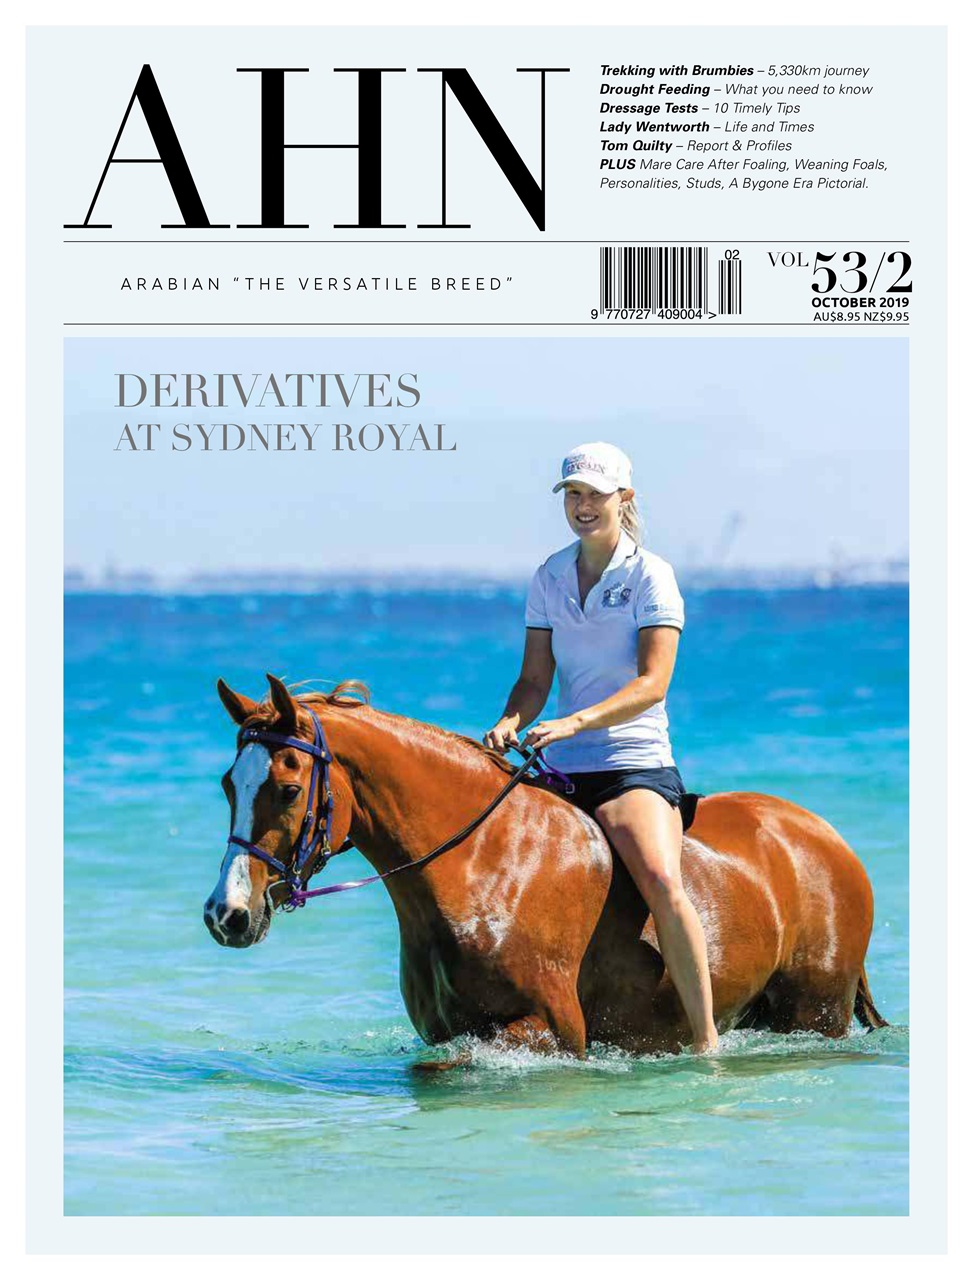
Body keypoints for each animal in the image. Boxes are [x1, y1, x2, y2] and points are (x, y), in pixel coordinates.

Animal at [204, 674, 887, 1057]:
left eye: (289, 790)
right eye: (228, 785)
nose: (226, 915)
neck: (481, 865)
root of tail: (825, 837)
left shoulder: (554, 1032)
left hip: (816, 1014)